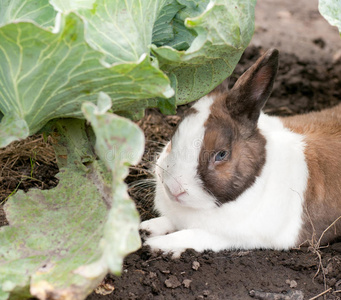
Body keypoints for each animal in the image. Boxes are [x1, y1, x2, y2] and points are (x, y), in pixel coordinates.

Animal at [138, 49, 340, 258]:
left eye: (221, 154)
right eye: (173, 137)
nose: (174, 189)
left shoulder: (236, 237)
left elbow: (194, 235)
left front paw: (157, 245)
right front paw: (146, 228)